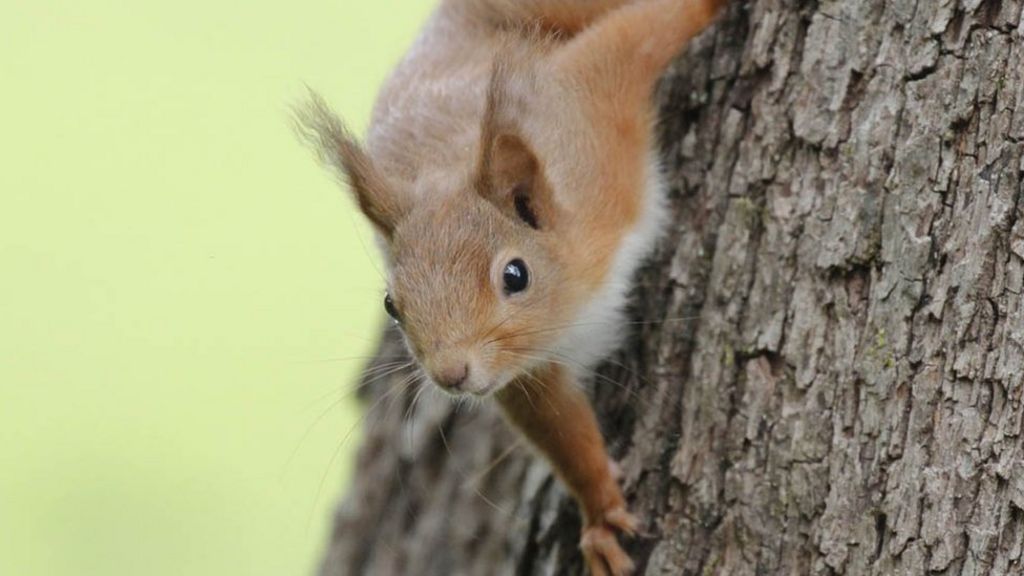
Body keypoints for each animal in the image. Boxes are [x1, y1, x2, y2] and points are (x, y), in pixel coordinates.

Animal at [298, 1, 725, 574]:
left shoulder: (592, 112)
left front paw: (710, 7)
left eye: (515, 275)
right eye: (392, 305)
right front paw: (600, 513)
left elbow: (642, 33)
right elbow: (561, 430)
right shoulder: (527, 370)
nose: (451, 375)